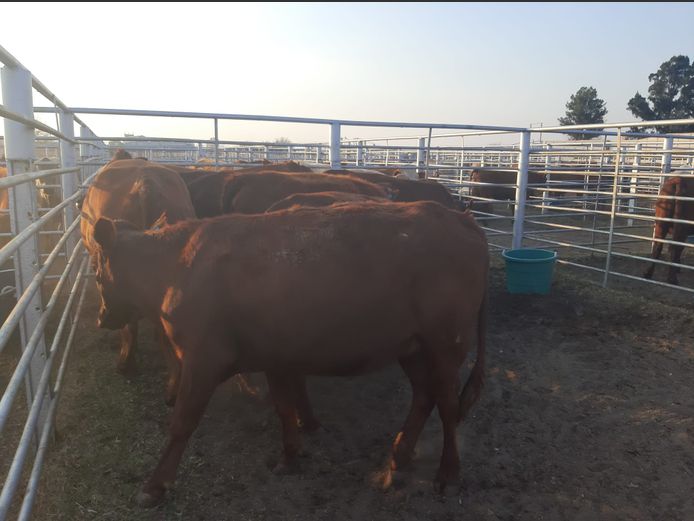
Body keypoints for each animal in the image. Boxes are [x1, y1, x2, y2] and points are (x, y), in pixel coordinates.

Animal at [92, 201, 492, 506]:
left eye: (96, 274)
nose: (101, 318)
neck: (177, 268)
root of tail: (460, 217)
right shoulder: (274, 356)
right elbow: (285, 407)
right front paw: (290, 455)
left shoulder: (203, 359)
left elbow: (181, 423)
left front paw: (154, 485)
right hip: (412, 346)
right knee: (424, 395)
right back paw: (400, 454)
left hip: (446, 343)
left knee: (448, 405)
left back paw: (448, 473)